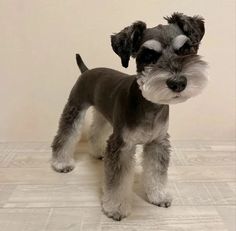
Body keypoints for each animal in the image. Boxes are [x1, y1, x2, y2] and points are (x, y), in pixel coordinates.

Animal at [50, 12, 207, 220]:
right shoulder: (122, 145)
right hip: (75, 108)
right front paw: (115, 207)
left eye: (186, 49)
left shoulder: (158, 143)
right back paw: (61, 163)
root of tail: (87, 71)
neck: (149, 104)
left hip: (104, 116)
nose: (178, 83)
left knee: (95, 131)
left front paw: (158, 195)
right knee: (66, 135)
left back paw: (98, 152)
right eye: (148, 56)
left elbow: (156, 171)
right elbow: (117, 181)